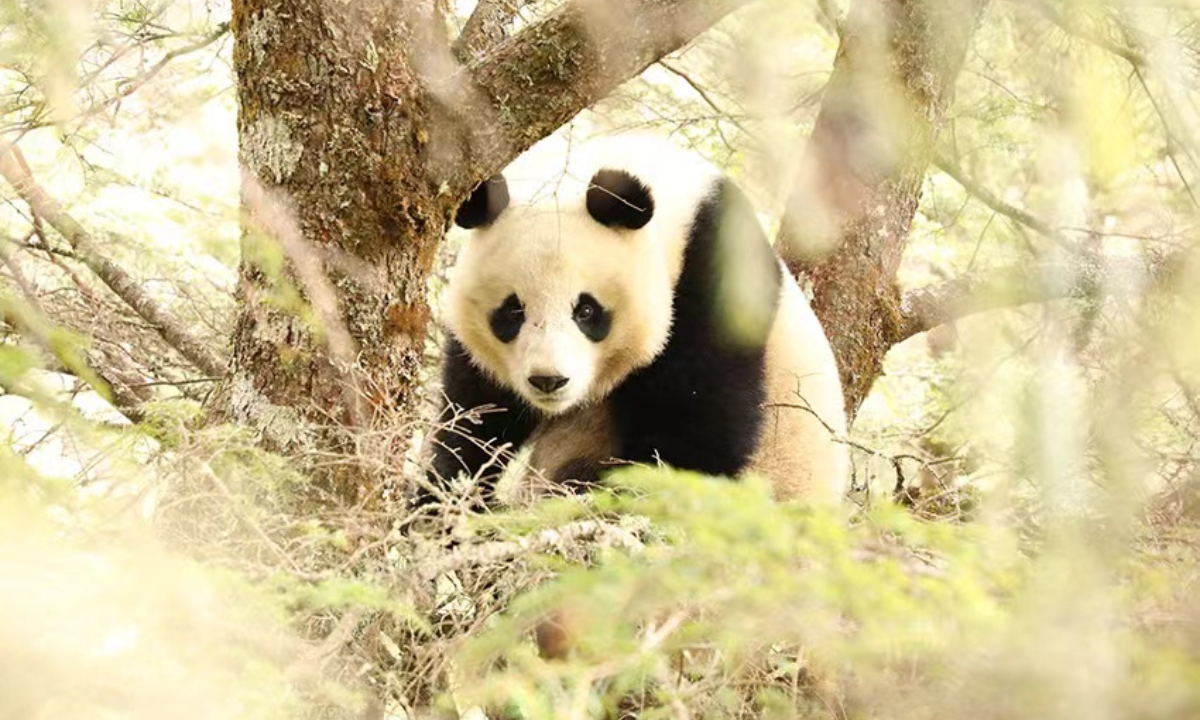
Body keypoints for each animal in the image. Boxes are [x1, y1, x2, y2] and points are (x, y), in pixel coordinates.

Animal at [417, 135, 849, 506]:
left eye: (586, 311)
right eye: (512, 311)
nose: (548, 380)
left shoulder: (714, 282)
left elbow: (699, 438)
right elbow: (476, 412)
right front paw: (445, 499)